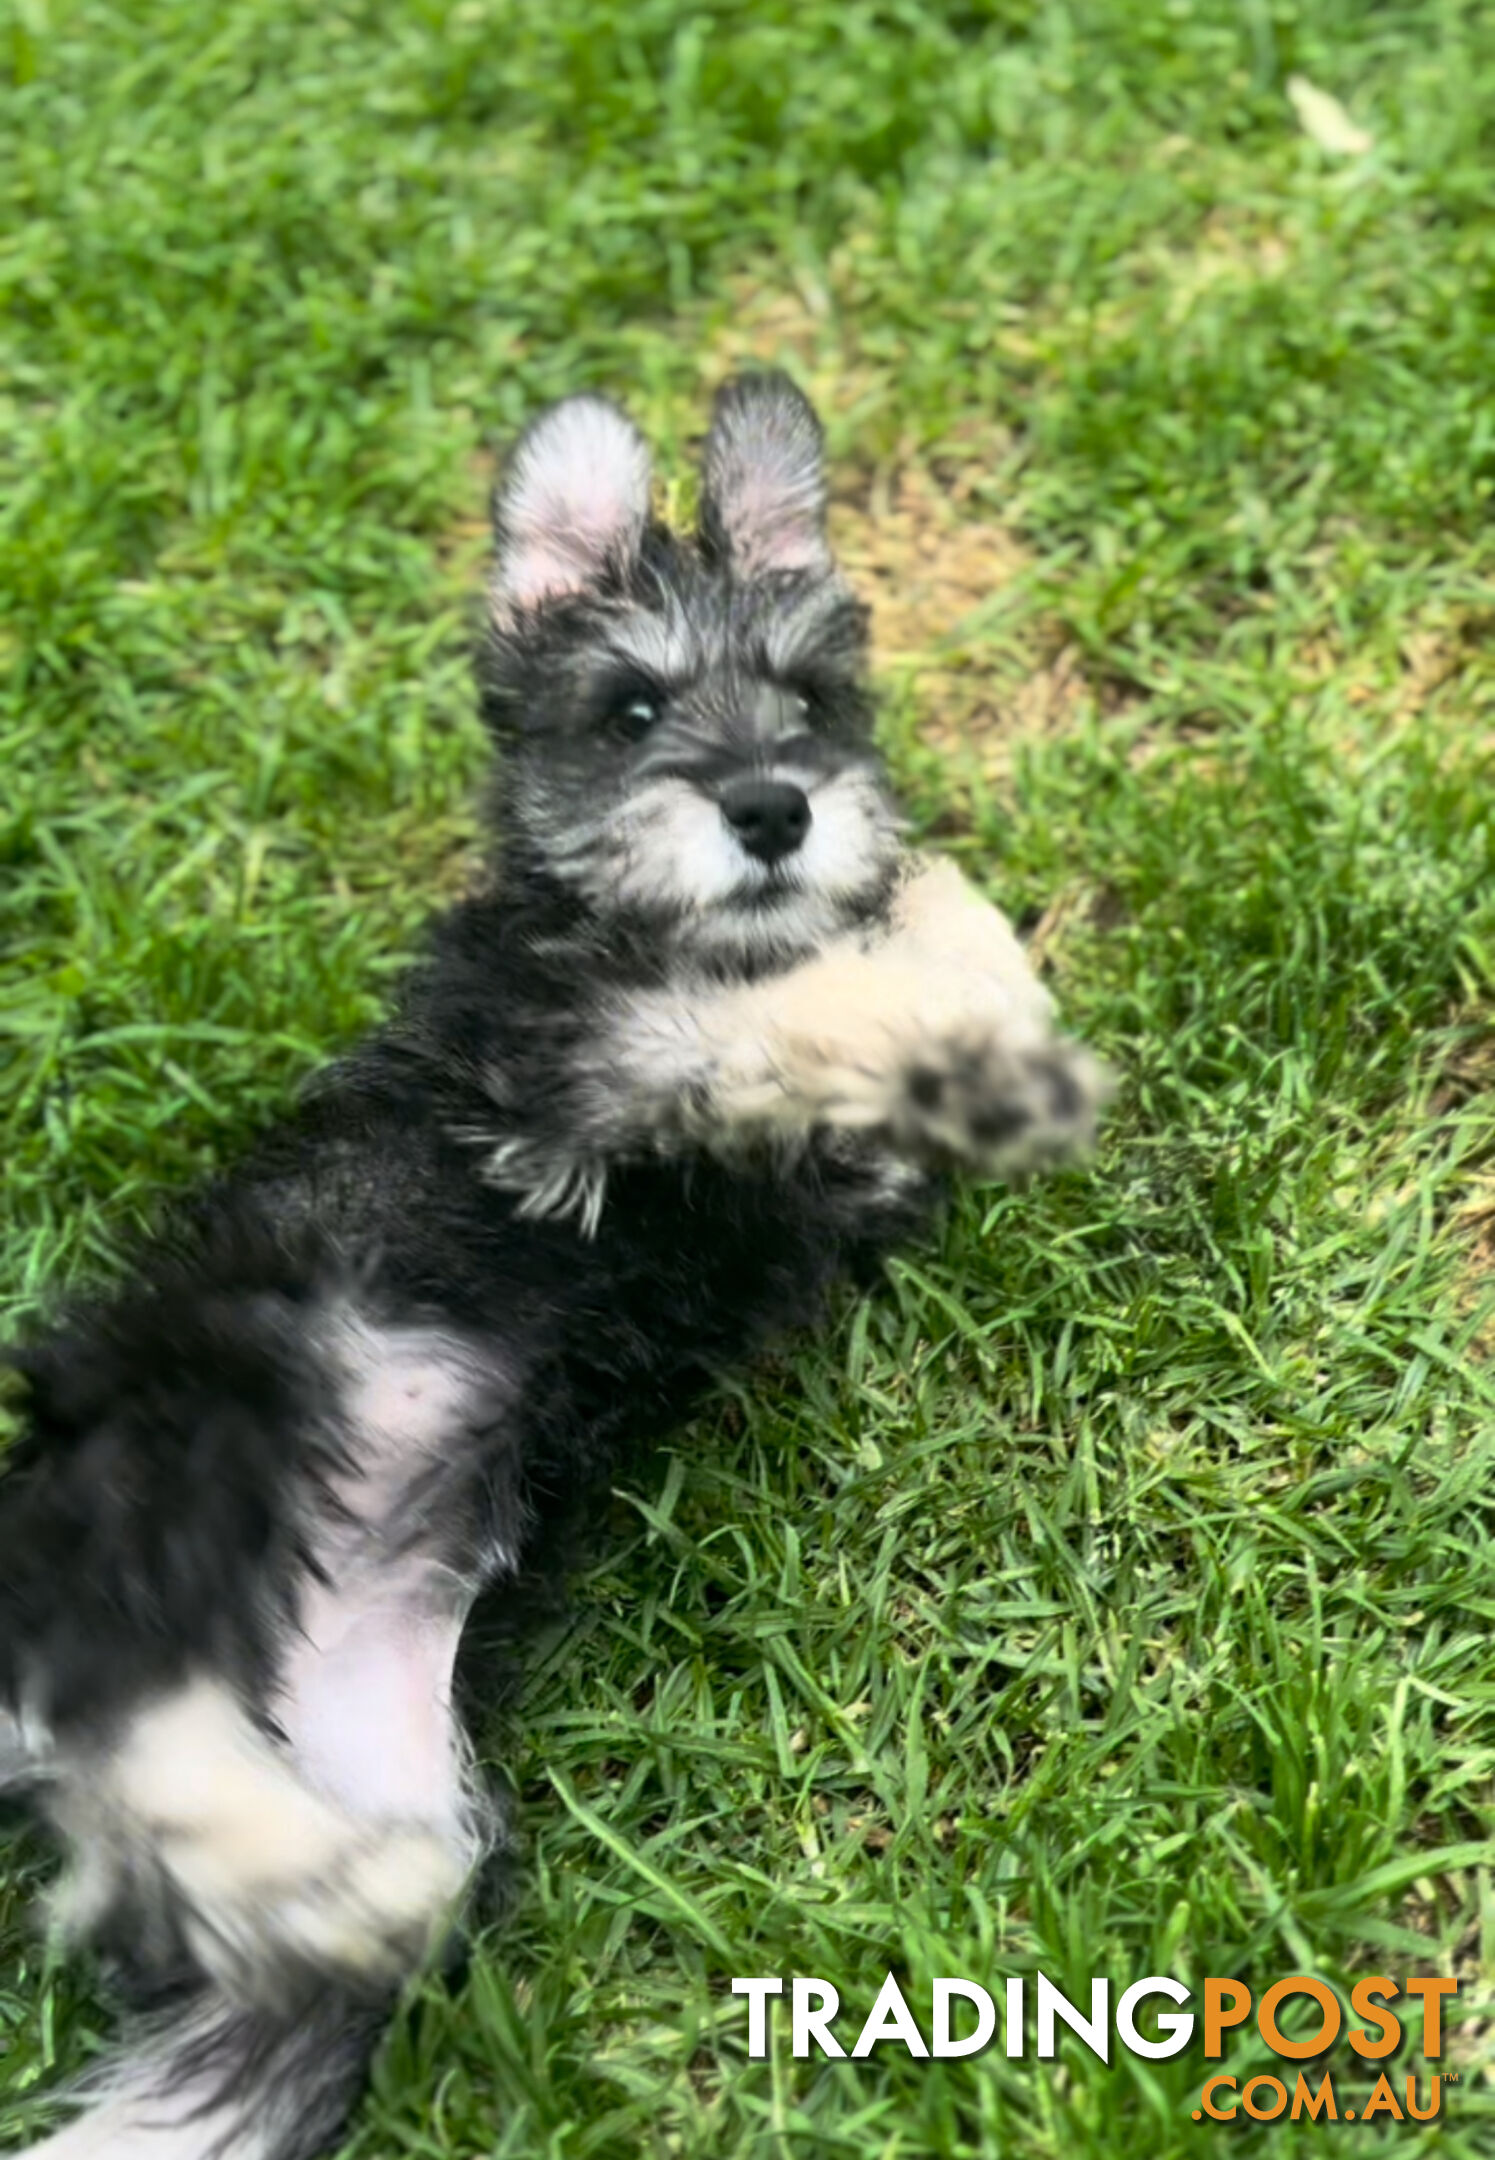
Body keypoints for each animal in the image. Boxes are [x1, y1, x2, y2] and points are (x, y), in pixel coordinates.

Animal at [2, 375, 1106, 2160]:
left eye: (808, 695)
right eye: (633, 708)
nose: (772, 810)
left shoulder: (818, 1159)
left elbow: (892, 960)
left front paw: (952, 997)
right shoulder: (566, 1071)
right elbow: (749, 1010)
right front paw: (950, 1012)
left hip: (389, 1750)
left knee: (211, 1875)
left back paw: (329, 1893)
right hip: (224, 1405)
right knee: (102, 1688)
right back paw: (307, 1868)